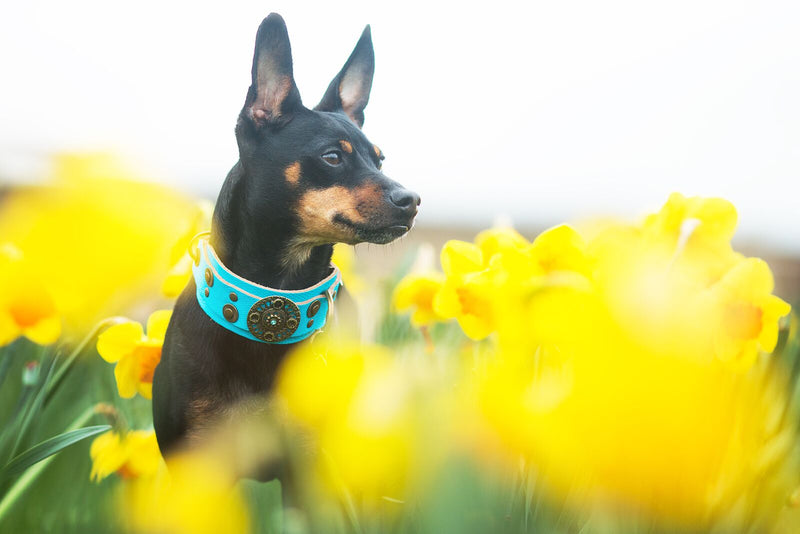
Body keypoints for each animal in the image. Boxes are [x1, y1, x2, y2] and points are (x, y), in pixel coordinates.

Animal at [152, 14, 422, 478]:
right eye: (332, 157)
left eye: (380, 159)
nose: (412, 201)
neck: (273, 300)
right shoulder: (200, 467)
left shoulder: (308, 466)